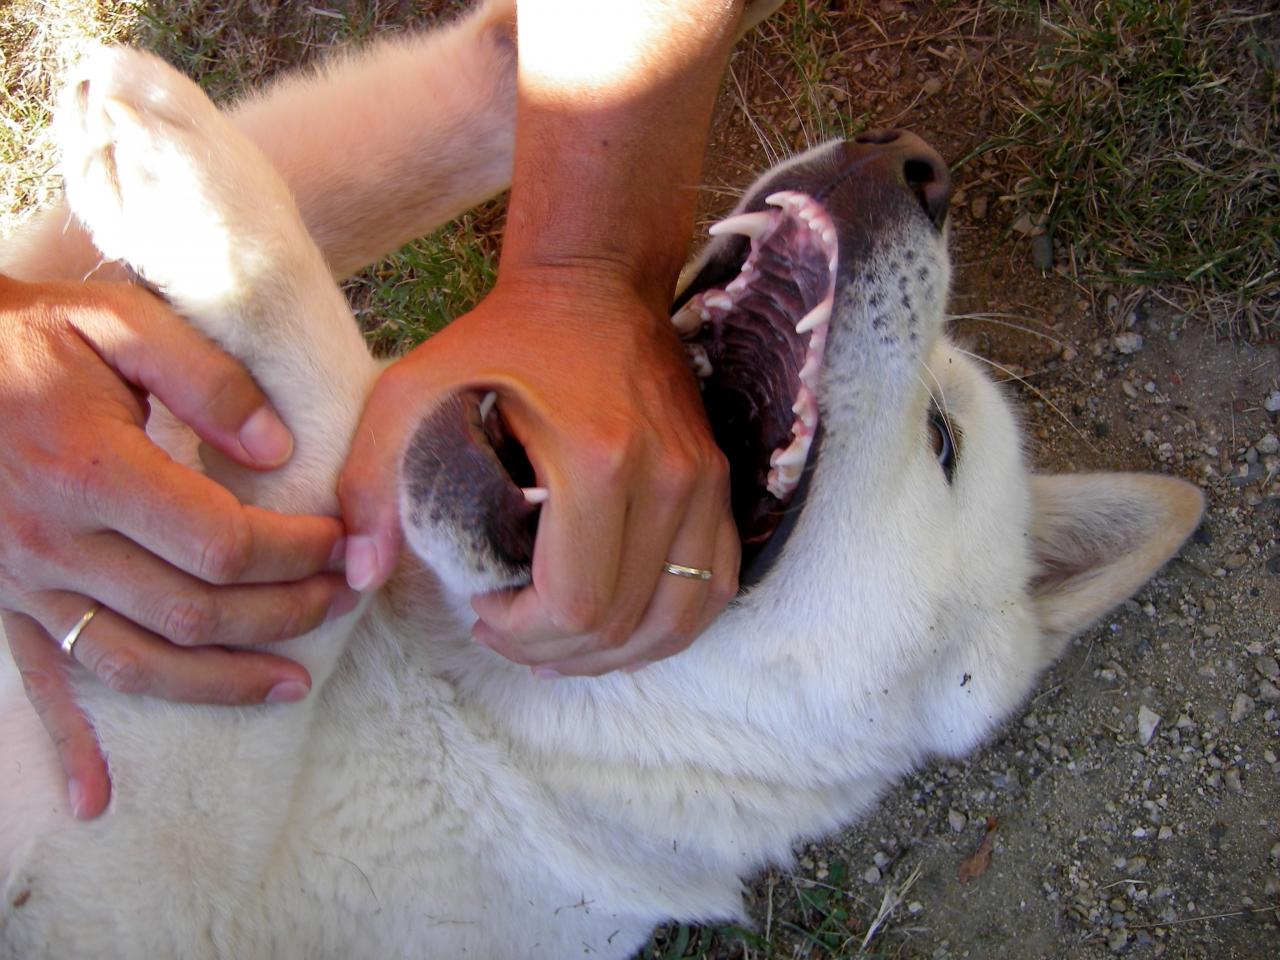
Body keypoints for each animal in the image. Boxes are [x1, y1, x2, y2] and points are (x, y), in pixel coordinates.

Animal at [0, 3, 1203, 957]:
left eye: (945, 441)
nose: (908, 157)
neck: (462, 701)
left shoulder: (163, 883)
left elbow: (330, 446)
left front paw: (189, 192)